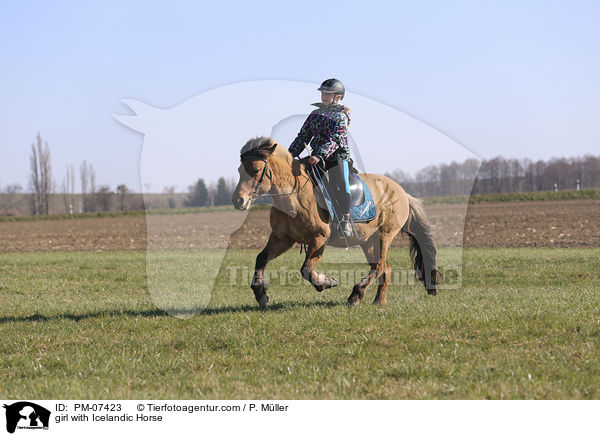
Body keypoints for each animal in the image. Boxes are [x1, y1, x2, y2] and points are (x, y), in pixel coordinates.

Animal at [233, 136, 440, 306]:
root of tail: (403, 192)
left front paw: (326, 282)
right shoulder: (282, 238)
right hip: (368, 241)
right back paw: (378, 300)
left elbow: (306, 269)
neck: (294, 197)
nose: (238, 200)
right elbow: (261, 259)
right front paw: (261, 294)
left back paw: (356, 294)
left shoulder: (318, 239)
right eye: (239, 171)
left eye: (256, 170)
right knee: (384, 268)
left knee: (381, 266)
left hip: (384, 235)